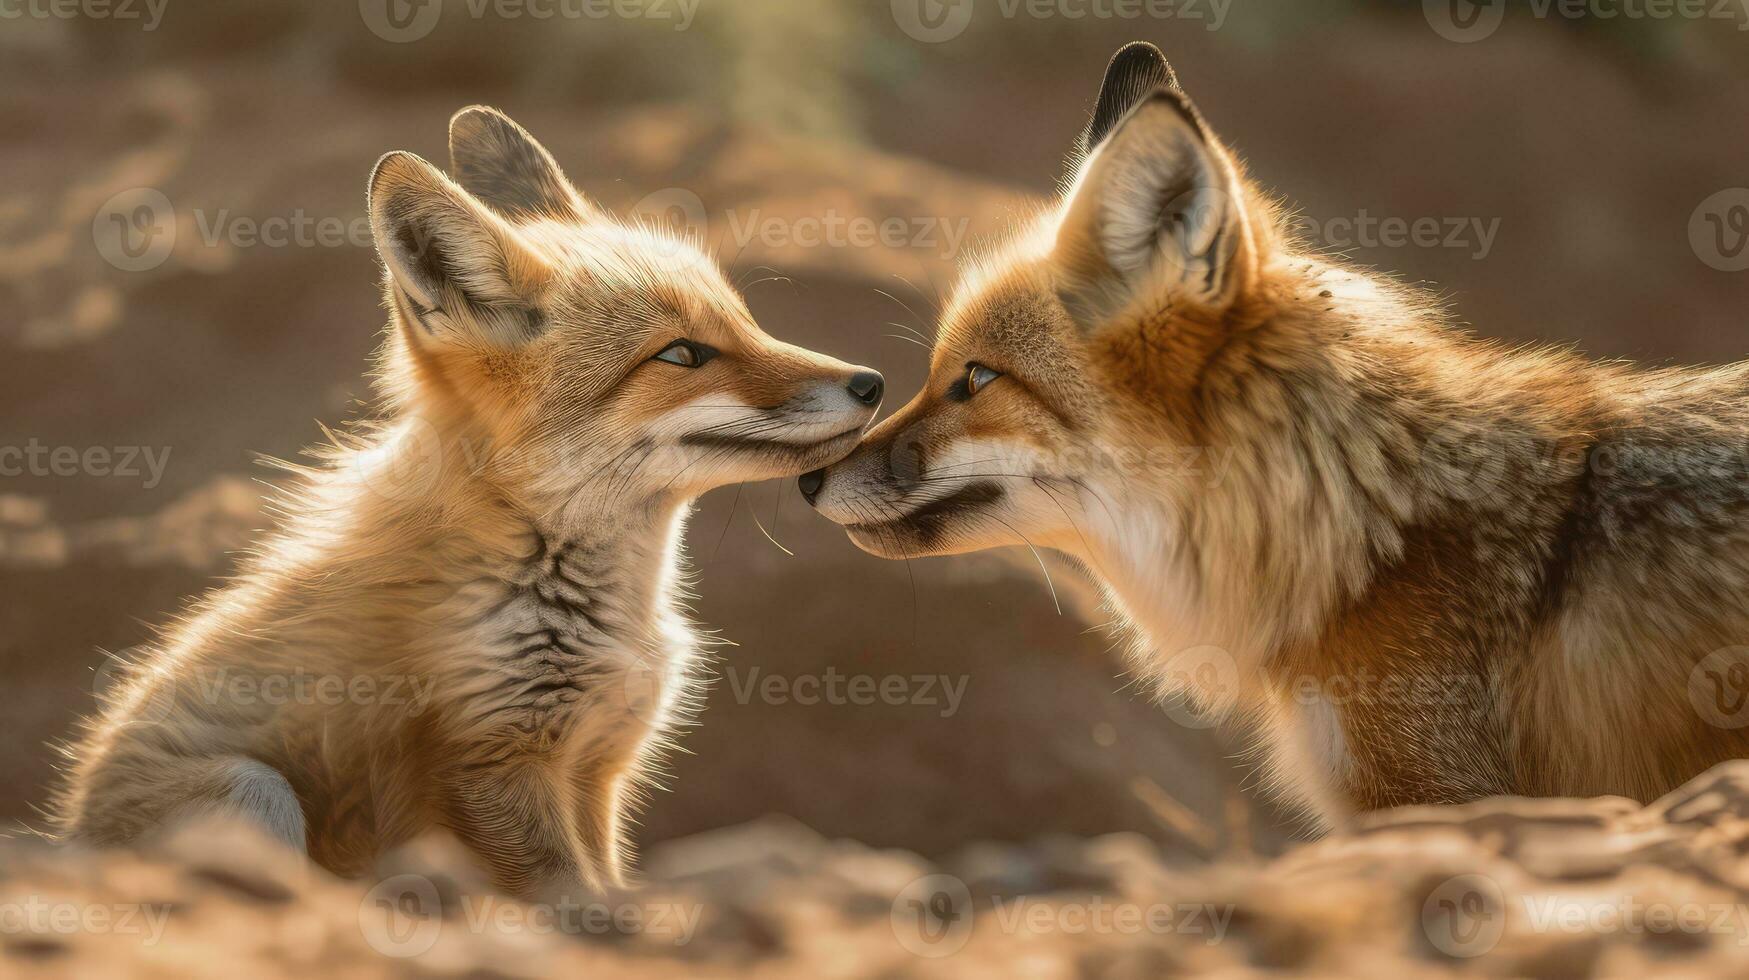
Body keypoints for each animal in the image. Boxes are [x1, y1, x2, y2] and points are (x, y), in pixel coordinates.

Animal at [56, 107, 888, 896]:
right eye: (682, 354)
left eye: (747, 323)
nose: (872, 382)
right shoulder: (492, 768)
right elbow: (567, 895)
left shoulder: (597, 773)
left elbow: (606, 881)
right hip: (251, 787)